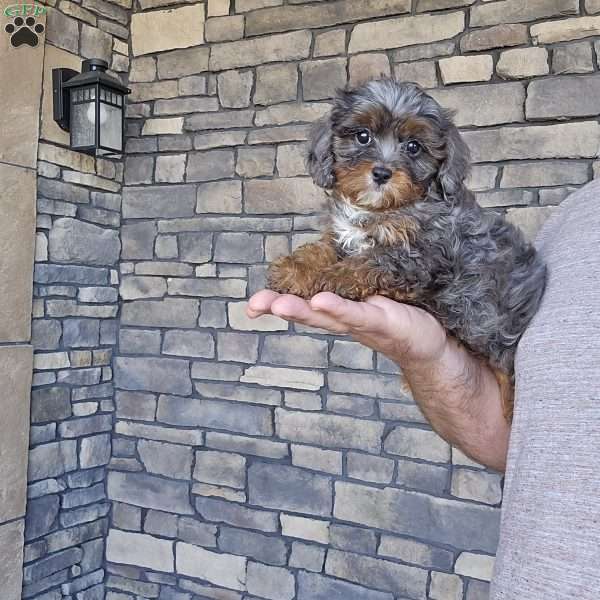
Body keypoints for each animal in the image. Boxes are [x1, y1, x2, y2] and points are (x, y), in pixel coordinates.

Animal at [270, 78, 548, 418]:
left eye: (414, 146)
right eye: (363, 136)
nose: (381, 173)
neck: (382, 209)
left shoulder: (420, 257)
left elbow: (368, 262)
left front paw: (331, 277)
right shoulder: (343, 237)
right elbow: (322, 249)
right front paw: (295, 269)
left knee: (507, 370)